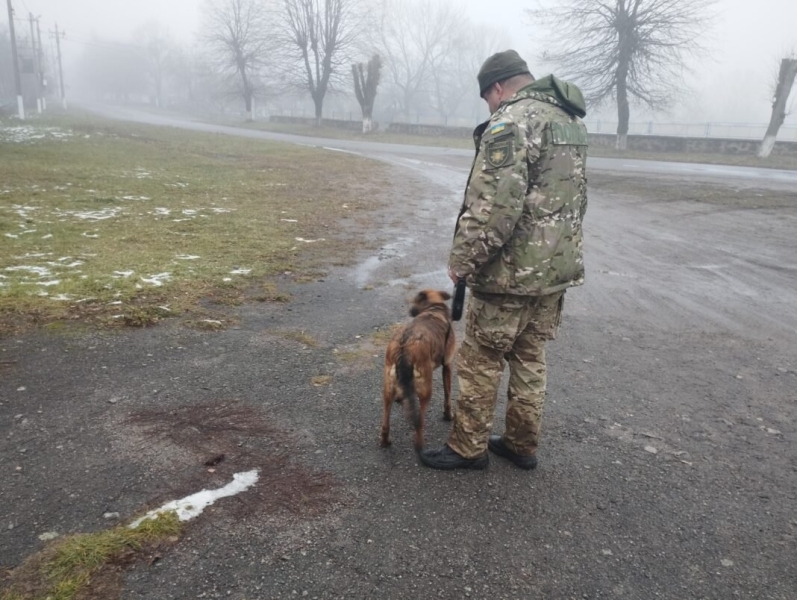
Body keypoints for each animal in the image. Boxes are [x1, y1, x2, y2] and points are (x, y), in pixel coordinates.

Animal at [380, 290, 454, 450]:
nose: (410, 311)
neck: (434, 308)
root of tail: (404, 345)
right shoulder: (448, 365)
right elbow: (448, 395)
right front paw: (448, 415)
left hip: (387, 388)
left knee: (385, 420)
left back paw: (385, 440)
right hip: (426, 389)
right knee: (419, 421)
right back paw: (420, 446)